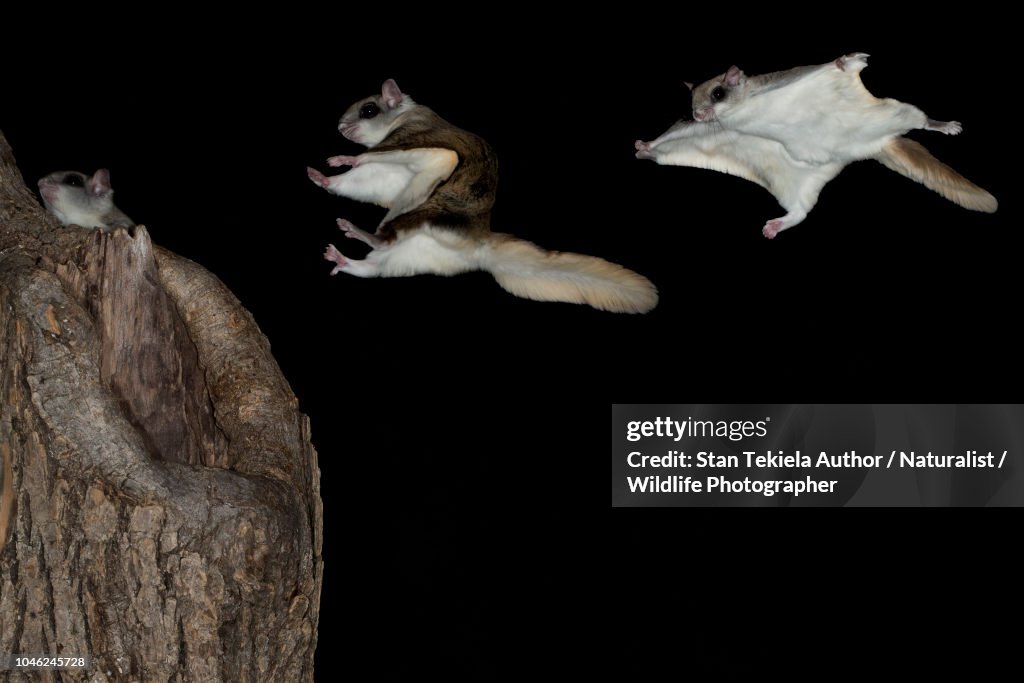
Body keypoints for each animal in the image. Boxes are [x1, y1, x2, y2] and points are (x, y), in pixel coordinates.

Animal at [305, 78, 655, 313]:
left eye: (368, 109)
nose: (340, 127)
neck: (402, 116)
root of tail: (478, 244)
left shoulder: (414, 140)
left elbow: (368, 158)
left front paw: (345, 159)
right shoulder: (386, 173)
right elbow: (354, 180)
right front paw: (326, 177)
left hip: (425, 208)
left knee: (386, 239)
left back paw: (366, 235)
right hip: (408, 255)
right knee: (372, 267)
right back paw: (344, 255)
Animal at [634, 51, 995, 237]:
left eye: (718, 93)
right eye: (690, 102)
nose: (697, 114)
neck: (745, 108)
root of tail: (876, 143)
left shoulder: (789, 78)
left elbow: (830, 67)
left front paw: (845, 61)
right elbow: (671, 137)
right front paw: (647, 147)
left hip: (893, 111)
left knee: (921, 120)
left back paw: (944, 125)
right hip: (797, 181)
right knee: (800, 212)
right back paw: (779, 224)